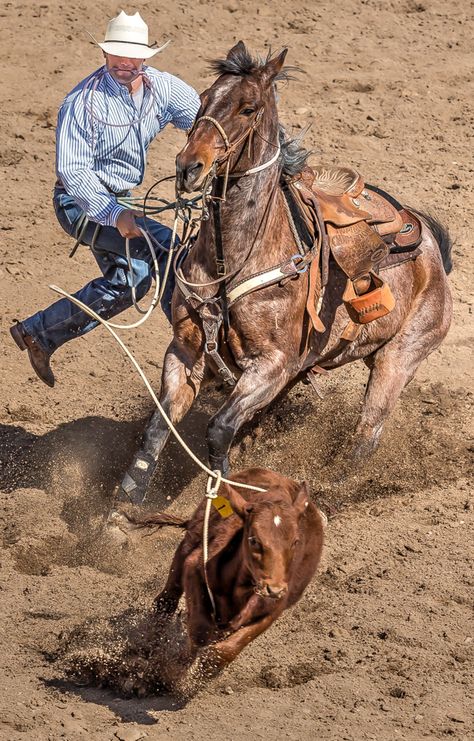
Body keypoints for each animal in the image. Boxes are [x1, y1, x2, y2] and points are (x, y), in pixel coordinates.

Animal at [117, 40, 452, 502]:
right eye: (203, 99)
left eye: (249, 108)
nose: (188, 167)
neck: (234, 256)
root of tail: (435, 254)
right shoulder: (186, 351)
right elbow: (157, 427)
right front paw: (121, 507)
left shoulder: (271, 363)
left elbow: (219, 428)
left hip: (399, 358)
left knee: (365, 437)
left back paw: (332, 490)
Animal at [135, 466, 324, 680]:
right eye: (254, 540)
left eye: (295, 541)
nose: (274, 589)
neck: (239, 587)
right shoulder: (193, 568)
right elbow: (200, 632)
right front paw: (173, 672)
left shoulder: (275, 608)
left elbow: (226, 650)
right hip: (186, 546)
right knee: (167, 600)